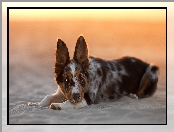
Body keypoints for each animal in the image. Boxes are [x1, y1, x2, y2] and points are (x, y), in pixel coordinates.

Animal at [28, 35, 159, 110]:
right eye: (66, 79)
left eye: (81, 78)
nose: (76, 96)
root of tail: (144, 62)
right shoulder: (62, 91)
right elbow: (48, 97)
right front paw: (36, 104)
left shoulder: (87, 98)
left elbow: (70, 103)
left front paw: (59, 105)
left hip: (152, 70)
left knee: (144, 94)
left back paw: (133, 96)